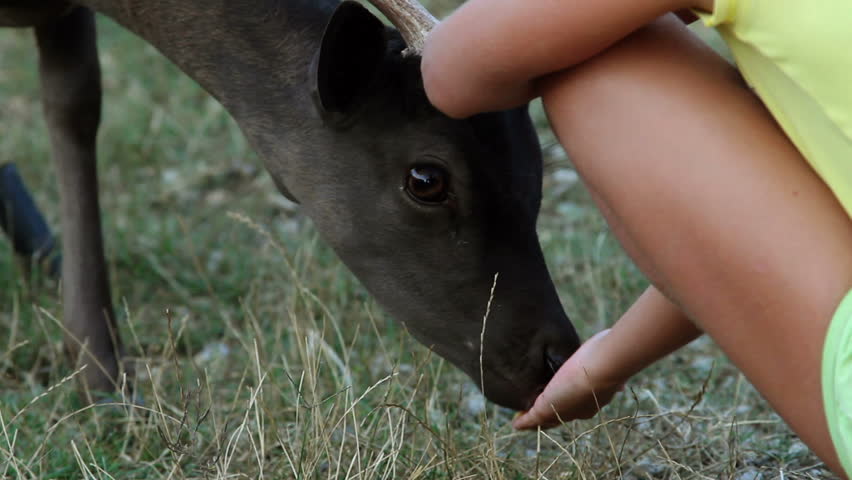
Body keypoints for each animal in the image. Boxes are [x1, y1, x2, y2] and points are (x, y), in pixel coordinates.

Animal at [0, 0, 581, 411]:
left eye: (536, 164)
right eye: (426, 180)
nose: (556, 358)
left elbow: (76, 102)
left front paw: (100, 374)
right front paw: (101, 373)